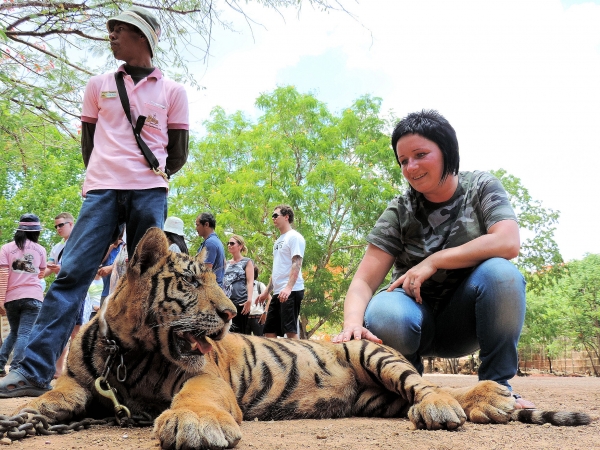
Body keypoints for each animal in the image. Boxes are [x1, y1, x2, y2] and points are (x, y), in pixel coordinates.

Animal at [18, 229, 592, 450]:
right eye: (191, 283)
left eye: (215, 281)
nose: (231, 312)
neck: (130, 350)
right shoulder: (81, 379)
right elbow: (55, 395)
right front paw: (24, 415)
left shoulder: (205, 375)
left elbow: (197, 396)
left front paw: (194, 424)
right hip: (375, 399)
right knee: (421, 393)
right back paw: (488, 401)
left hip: (368, 350)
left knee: (427, 386)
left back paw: (463, 404)